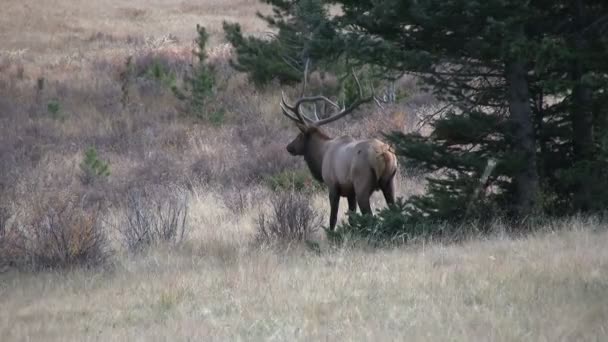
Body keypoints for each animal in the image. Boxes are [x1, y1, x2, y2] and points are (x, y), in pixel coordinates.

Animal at [280, 70, 400, 230]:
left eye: (299, 135)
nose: (289, 147)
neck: (322, 155)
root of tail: (385, 155)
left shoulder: (332, 186)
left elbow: (333, 218)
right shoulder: (350, 192)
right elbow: (351, 217)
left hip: (362, 184)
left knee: (369, 215)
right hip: (389, 182)